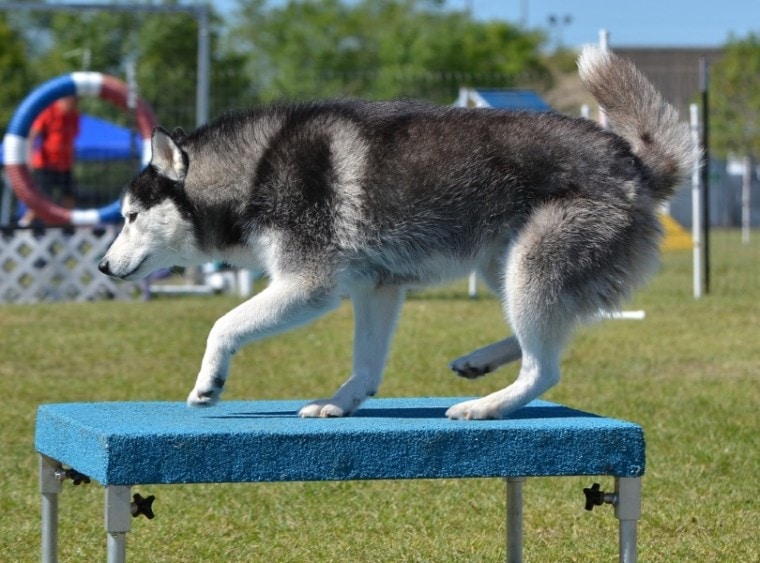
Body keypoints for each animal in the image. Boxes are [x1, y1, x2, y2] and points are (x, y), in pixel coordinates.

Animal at [99, 47, 696, 418]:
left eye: (130, 216)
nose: (102, 266)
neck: (255, 169)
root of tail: (633, 164)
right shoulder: (377, 288)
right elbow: (366, 365)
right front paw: (341, 403)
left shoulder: (309, 286)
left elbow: (222, 324)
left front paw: (208, 383)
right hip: (502, 265)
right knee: (552, 333)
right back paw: (479, 361)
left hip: (531, 266)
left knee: (544, 367)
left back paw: (485, 407)